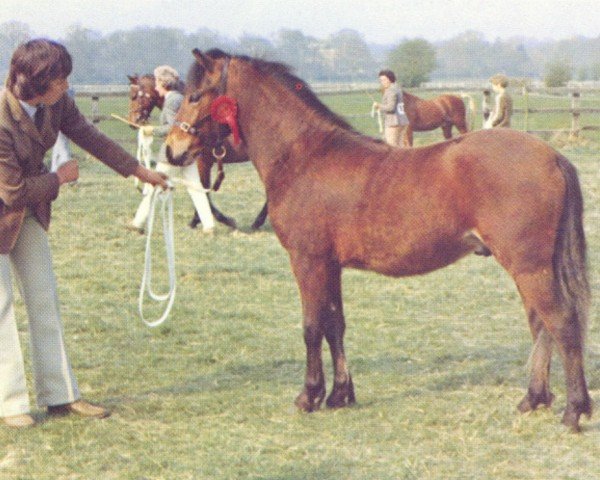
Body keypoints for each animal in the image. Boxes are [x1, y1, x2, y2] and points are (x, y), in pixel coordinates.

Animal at [164, 50, 592, 434]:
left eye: (195, 95)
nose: (171, 149)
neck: (305, 155)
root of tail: (552, 156)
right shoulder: (330, 265)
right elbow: (335, 325)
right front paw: (340, 395)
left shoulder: (307, 261)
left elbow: (311, 326)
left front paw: (309, 396)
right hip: (528, 268)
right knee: (541, 324)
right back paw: (533, 399)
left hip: (529, 266)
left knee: (561, 322)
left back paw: (574, 411)